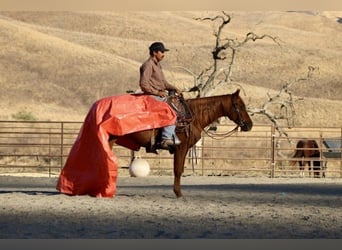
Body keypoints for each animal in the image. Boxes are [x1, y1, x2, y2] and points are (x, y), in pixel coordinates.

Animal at [108, 89, 252, 198]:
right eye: (240, 106)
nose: (249, 125)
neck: (193, 116)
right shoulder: (181, 147)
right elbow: (177, 170)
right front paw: (178, 193)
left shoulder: (185, 148)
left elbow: (180, 169)